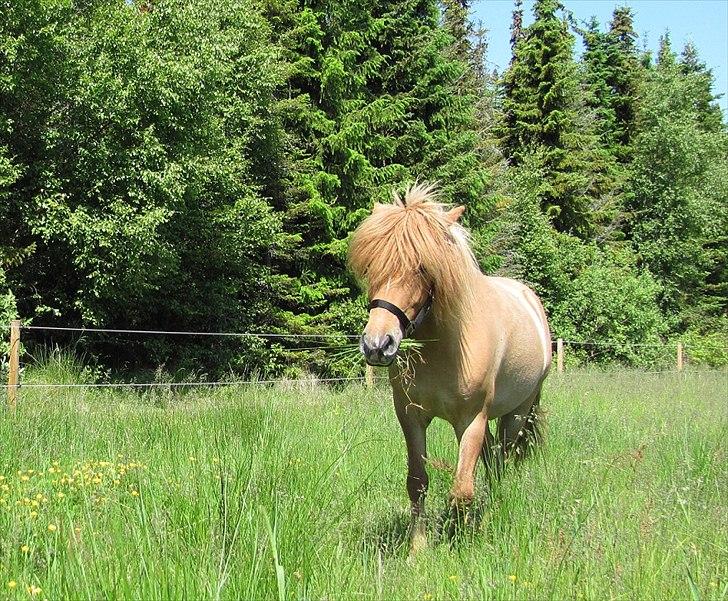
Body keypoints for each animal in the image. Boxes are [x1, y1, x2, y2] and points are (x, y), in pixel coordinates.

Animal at [348, 183, 552, 552]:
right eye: (371, 267)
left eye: (423, 268)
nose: (377, 345)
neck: (445, 346)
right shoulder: (411, 416)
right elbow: (418, 481)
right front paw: (419, 547)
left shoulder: (471, 420)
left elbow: (461, 490)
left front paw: (457, 536)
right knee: (491, 460)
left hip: (516, 414)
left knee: (501, 461)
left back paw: (492, 510)